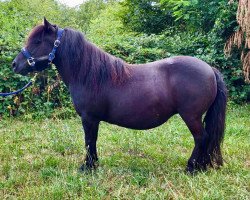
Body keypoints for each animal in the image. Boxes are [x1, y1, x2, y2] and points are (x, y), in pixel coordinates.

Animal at [11, 18, 228, 173]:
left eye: (38, 41)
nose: (15, 64)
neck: (87, 73)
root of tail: (210, 69)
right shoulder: (92, 119)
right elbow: (92, 141)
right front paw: (93, 165)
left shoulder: (89, 118)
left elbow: (89, 141)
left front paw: (88, 167)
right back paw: (201, 166)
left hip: (191, 116)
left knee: (201, 138)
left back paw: (191, 167)